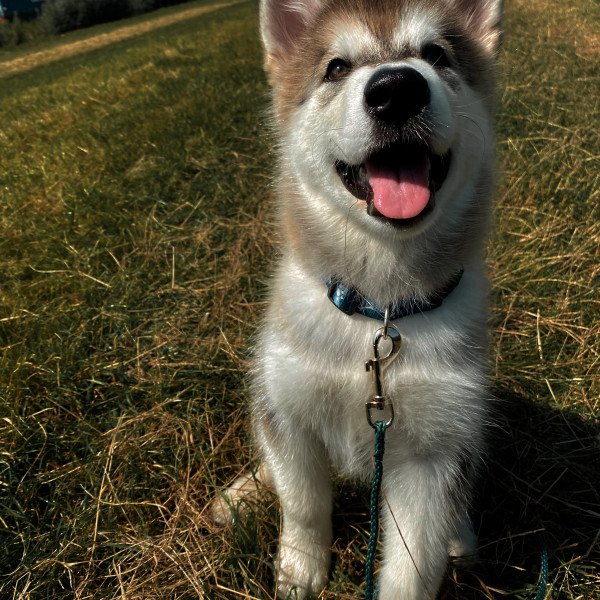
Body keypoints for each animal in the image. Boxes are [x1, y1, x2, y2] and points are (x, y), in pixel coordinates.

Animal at [213, 1, 504, 596]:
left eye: (436, 54)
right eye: (336, 67)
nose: (397, 89)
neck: (378, 312)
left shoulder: (432, 455)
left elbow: (414, 565)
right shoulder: (290, 407)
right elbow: (303, 503)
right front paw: (299, 570)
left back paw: (461, 536)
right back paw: (241, 494)